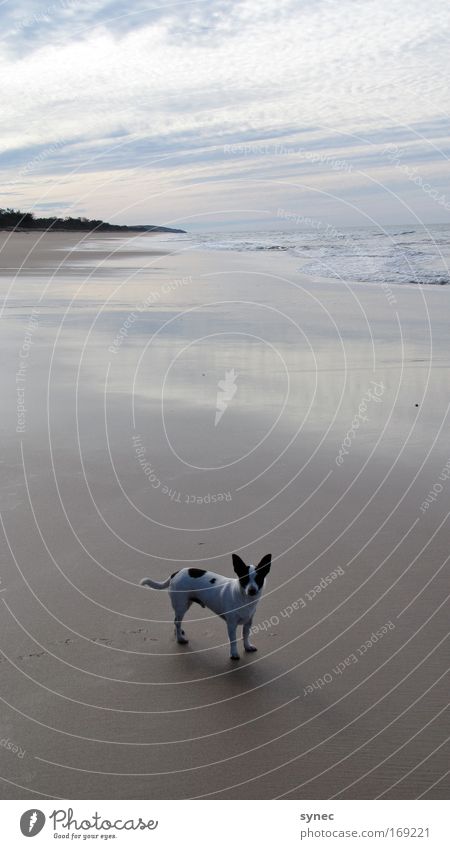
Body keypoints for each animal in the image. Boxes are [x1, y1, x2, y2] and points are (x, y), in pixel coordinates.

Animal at [141, 552, 270, 660]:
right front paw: (234, 654)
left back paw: (179, 633)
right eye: (244, 579)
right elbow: (233, 640)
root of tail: (175, 573)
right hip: (181, 605)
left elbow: (246, 635)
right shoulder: (231, 624)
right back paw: (180, 639)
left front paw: (247, 646)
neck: (245, 599)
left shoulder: (248, 621)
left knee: (176, 620)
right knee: (177, 621)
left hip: (184, 604)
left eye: (259, 579)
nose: (252, 590)